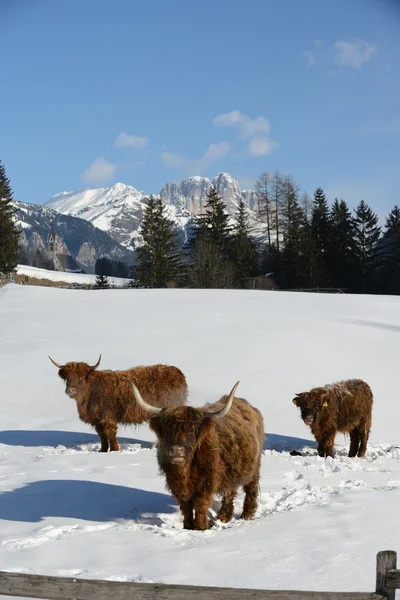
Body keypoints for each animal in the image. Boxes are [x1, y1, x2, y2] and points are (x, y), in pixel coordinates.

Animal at [47, 354, 188, 452]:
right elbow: (102, 436)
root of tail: (177, 372)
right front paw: (102, 451)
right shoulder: (97, 420)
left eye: (81, 377)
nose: (70, 390)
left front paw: (115, 451)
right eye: (67, 378)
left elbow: (111, 434)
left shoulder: (107, 418)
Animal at [123, 380, 264, 528]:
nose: (176, 450)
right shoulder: (177, 484)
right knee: (229, 492)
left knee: (250, 489)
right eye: (167, 430)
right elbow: (186, 507)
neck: (186, 470)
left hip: (254, 468)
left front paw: (200, 527)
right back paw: (223, 517)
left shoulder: (206, 484)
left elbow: (201, 506)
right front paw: (187, 527)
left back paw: (246, 515)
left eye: (192, 430)